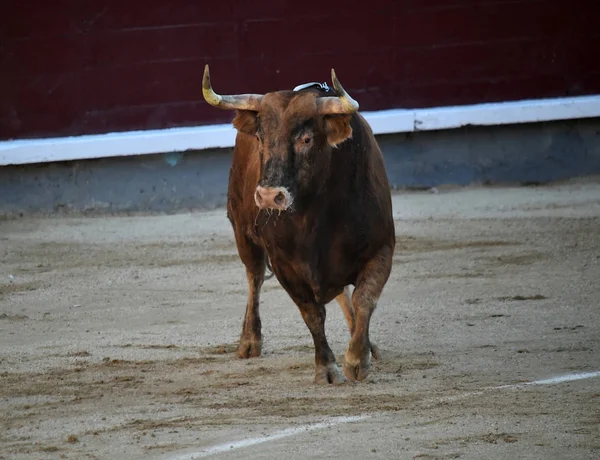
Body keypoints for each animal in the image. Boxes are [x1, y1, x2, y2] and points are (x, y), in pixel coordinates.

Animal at [204, 64, 396, 384]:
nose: (269, 196)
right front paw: (326, 368)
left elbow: (364, 299)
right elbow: (312, 314)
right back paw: (249, 341)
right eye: (260, 138)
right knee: (254, 277)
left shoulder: (381, 249)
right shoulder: (285, 266)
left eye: (306, 139)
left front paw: (358, 359)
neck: (316, 213)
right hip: (243, 233)